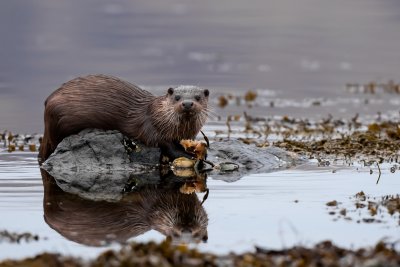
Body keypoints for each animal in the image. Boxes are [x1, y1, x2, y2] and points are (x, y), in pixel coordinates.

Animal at [39, 75, 211, 162]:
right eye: (177, 97)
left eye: (198, 97)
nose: (187, 103)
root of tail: (48, 101)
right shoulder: (152, 128)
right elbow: (167, 146)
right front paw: (188, 155)